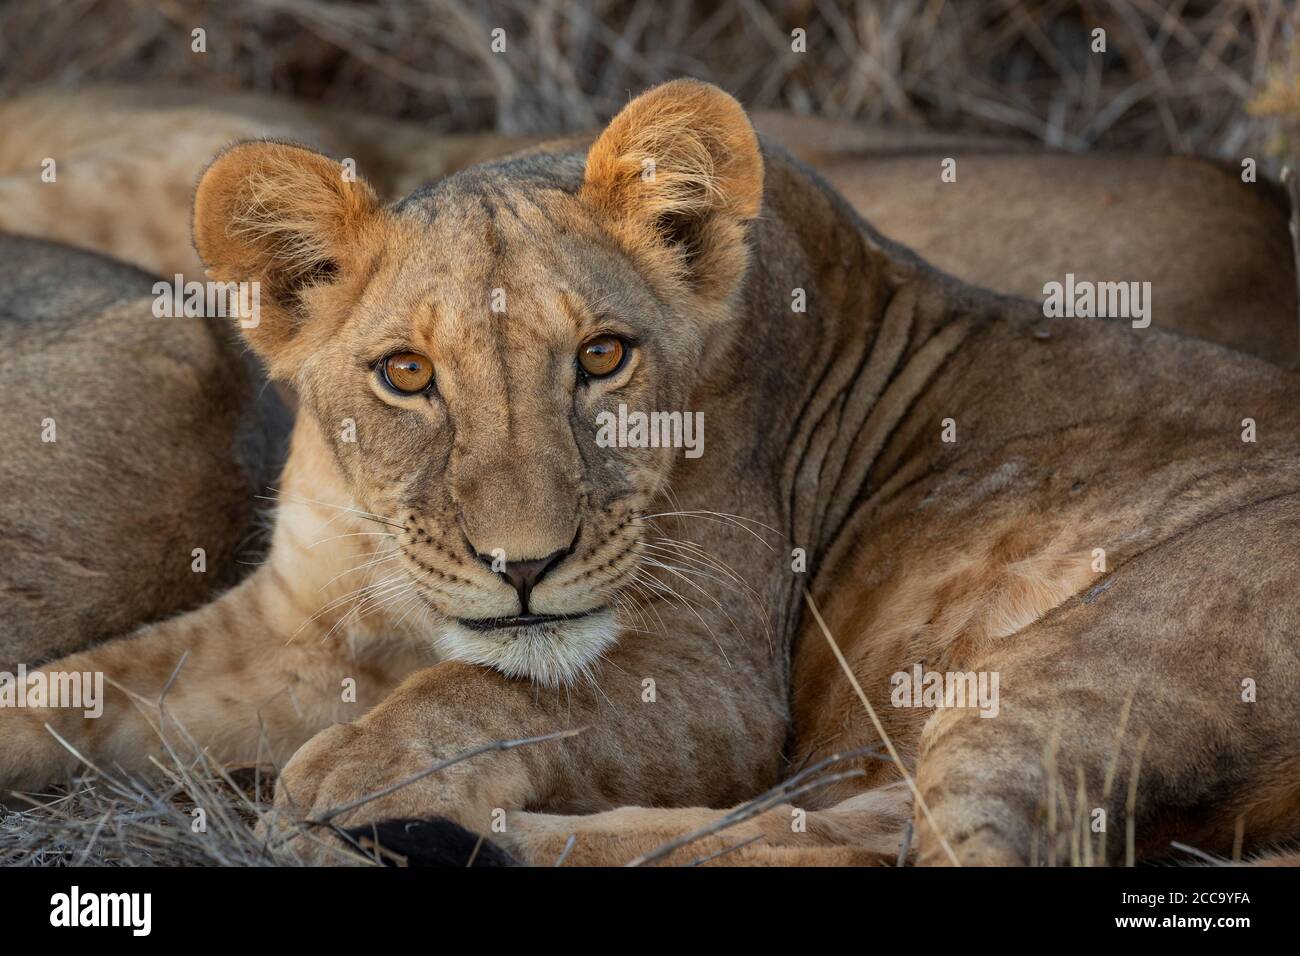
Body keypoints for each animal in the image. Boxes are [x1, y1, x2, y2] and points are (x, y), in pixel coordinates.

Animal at [4, 79, 1300, 867]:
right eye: (407, 374)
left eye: (602, 357)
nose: (522, 565)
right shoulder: (289, 627)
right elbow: (81, 687)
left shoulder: (718, 686)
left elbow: (463, 697)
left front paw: (333, 791)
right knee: (840, 832)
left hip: (1071, 666)